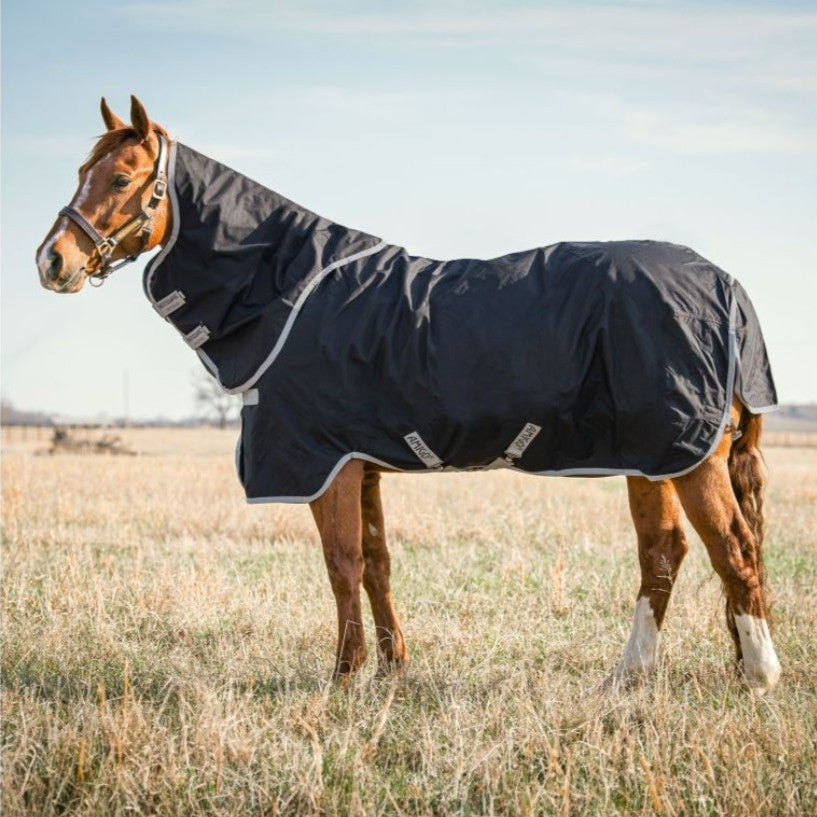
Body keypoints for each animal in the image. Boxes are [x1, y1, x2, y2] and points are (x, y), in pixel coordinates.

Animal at [36, 96, 782, 693]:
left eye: (122, 178)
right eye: (79, 174)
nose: (52, 261)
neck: (289, 288)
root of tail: (727, 286)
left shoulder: (325, 464)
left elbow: (341, 565)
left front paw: (343, 675)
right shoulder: (360, 464)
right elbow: (377, 563)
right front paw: (393, 670)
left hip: (687, 455)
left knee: (731, 548)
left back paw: (759, 673)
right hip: (651, 457)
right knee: (664, 553)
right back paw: (628, 675)